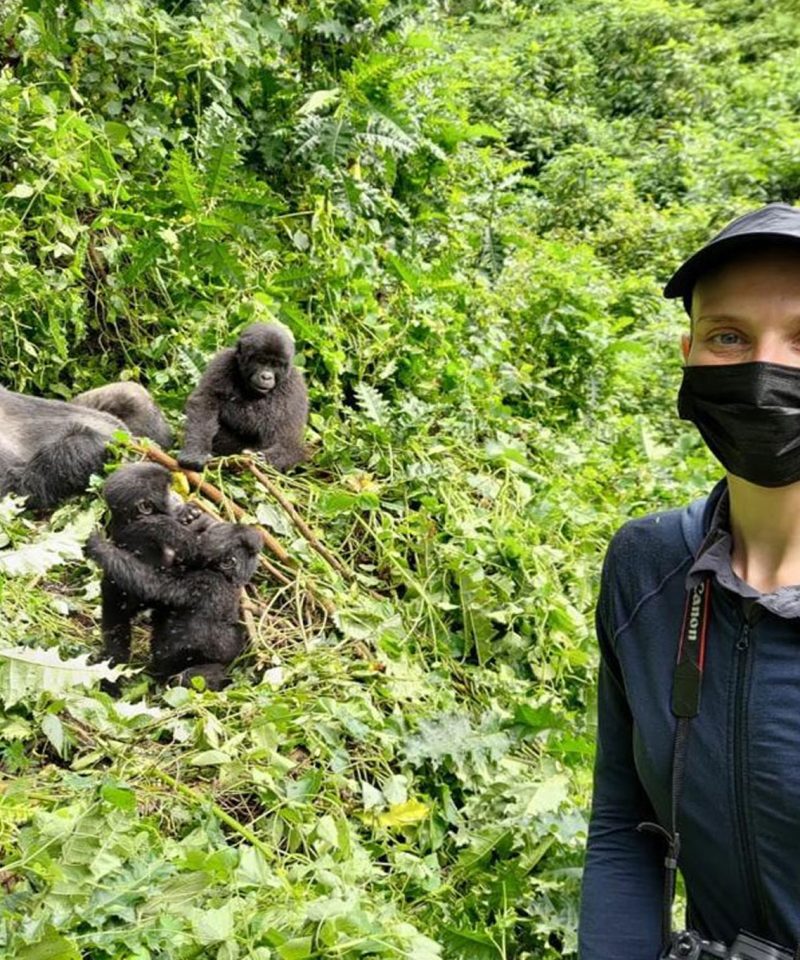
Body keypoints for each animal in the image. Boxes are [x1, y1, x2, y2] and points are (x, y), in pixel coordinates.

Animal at [86, 522, 263, 690]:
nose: (201, 533)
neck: (226, 577)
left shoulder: (204, 582)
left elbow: (152, 586)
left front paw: (99, 546)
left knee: (192, 678)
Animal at [178, 323, 308, 473]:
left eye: (276, 365)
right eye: (261, 361)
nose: (266, 377)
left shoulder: (294, 384)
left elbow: (270, 423)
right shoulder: (223, 361)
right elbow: (205, 401)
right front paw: (195, 453)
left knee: (292, 446)